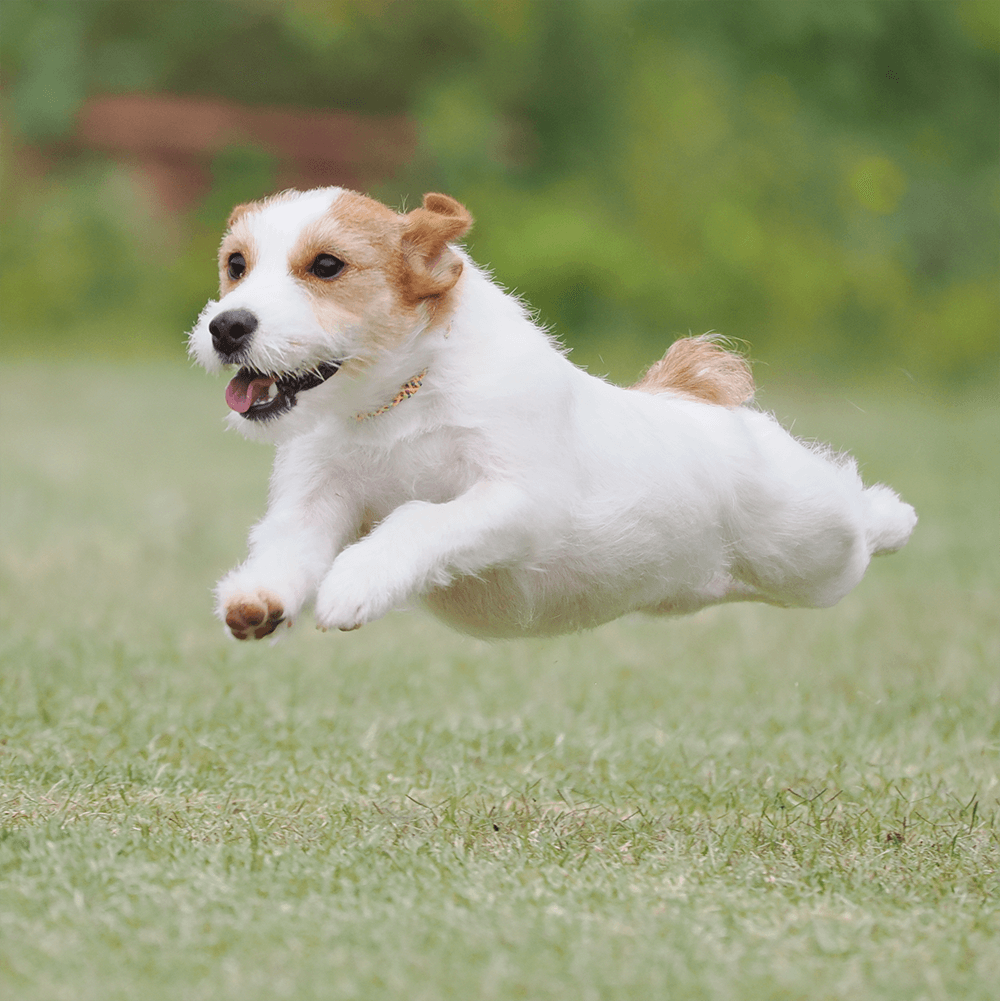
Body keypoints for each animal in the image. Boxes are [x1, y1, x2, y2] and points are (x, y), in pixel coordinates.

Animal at [186, 188, 916, 640]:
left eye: (327, 265)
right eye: (236, 264)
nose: (226, 326)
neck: (402, 400)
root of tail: (684, 397)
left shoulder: (520, 499)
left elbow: (419, 517)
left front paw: (355, 581)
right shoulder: (315, 502)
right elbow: (288, 548)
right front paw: (257, 601)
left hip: (809, 548)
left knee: (851, 519)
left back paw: (893, 515)